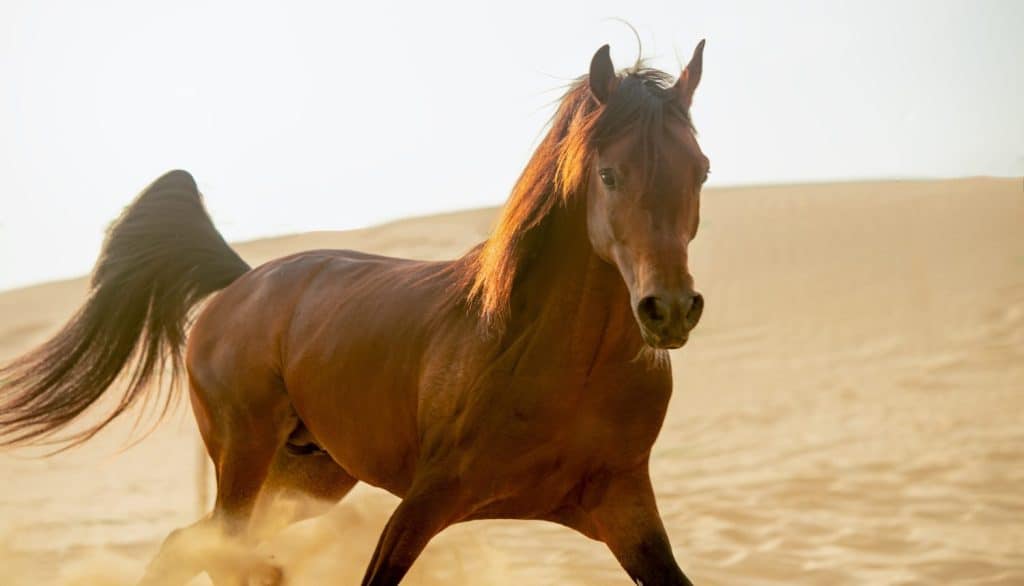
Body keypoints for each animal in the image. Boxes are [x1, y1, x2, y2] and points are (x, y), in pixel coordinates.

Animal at [0, 40, 710, 585]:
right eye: (609, 174)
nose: (670, 311)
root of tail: (242, 282)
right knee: (212, 549)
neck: (561, 365)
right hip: (245, 457)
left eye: (701, 170)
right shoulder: (424, 502)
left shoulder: (625, 507)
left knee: (192, 546)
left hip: (304, 477)